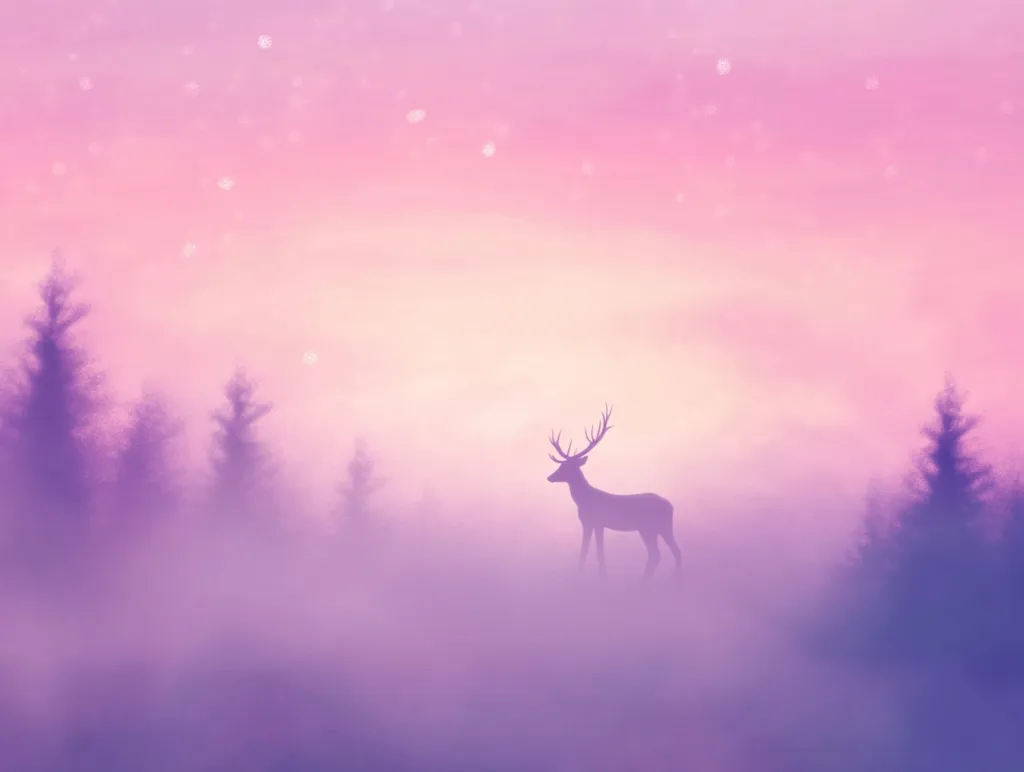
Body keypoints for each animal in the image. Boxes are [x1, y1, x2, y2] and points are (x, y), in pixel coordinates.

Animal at [547, 405, 681, 580]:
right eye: (561, 465)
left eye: (566, 467)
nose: (549, 477)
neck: (584, 500)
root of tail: (671, 505)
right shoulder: (587, 523)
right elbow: (584, 551)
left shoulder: (598, 522)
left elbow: (599, 553)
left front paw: (601, 577)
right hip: (652, 528)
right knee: (661, 553)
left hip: (656, 526)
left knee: (667, 552)